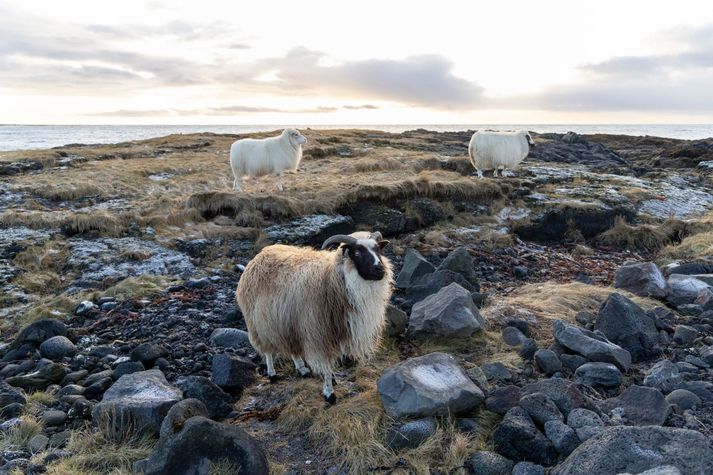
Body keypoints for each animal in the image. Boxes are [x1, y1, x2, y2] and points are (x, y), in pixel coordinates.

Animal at [236, 232, 392, 404]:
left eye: (378, 249)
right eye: (357, 253)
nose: (380, 269)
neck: (335, 279)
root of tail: (260, 255)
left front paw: (332, 379)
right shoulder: (318, 333)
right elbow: (325, 364)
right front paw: (329, 393)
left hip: (288, 321)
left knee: (293, 346)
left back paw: (302, 369)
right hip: (259, 321)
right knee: (267, 350)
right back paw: (272, 374)